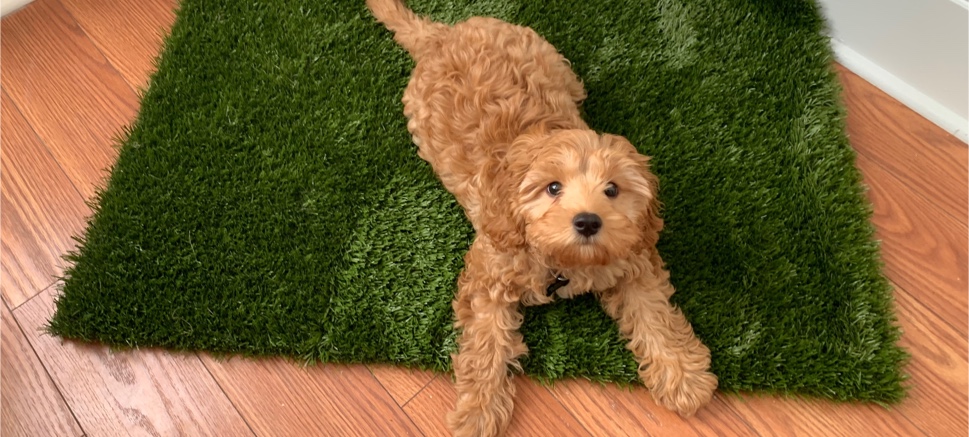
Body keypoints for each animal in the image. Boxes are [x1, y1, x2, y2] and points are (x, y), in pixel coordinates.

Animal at [366, 1, 716, 434]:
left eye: (612, 190)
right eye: (552, 188)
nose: (588, 222)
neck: (561, 260)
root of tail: (441, 36)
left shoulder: (631, 257)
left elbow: (654, 312)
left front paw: (683, 375)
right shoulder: (489, 273)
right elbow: (485, 343)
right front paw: (479, 410)